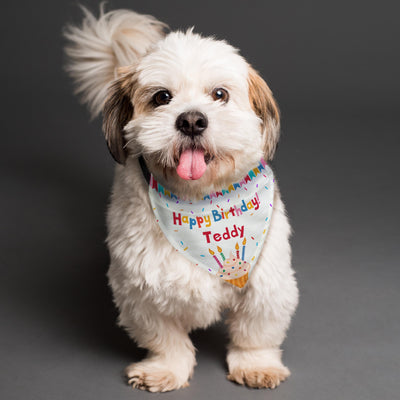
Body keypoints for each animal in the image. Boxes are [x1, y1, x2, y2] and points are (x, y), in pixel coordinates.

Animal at [65, 6, 296, 392]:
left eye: (219, 94)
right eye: (162, 97)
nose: (191, 119)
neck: (200, 201)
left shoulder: (266, 282)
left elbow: (255, 332)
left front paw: (256, 364)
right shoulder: (140, 290)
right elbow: (166, 339)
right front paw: (165, 369)